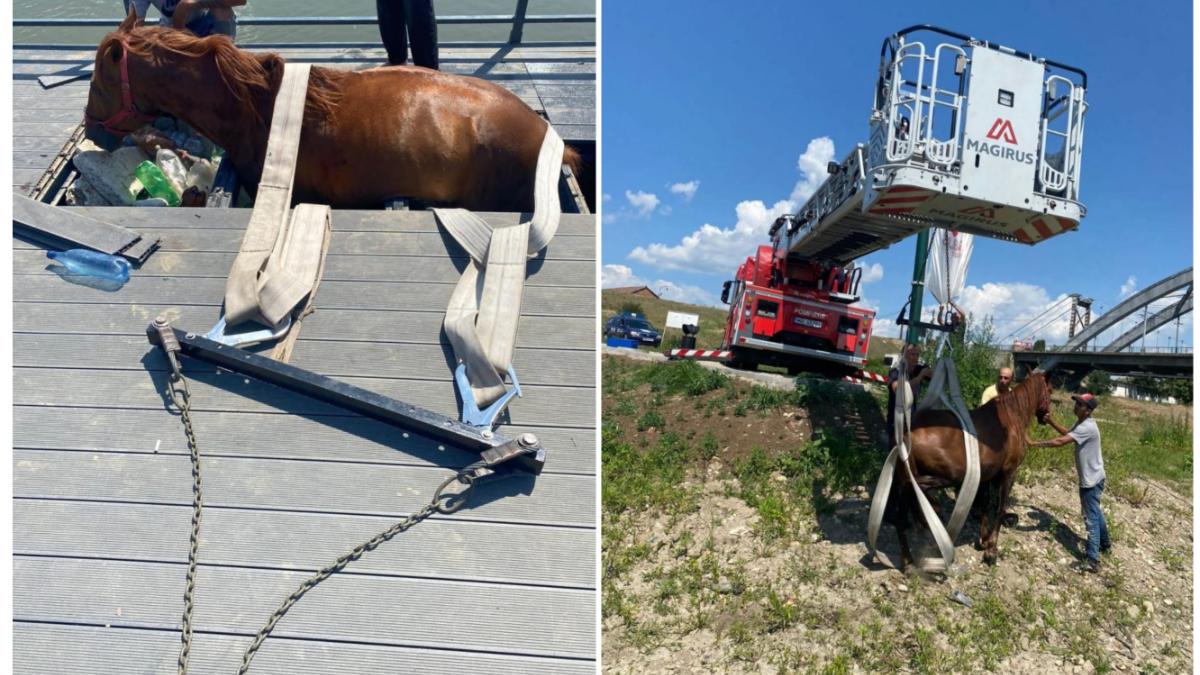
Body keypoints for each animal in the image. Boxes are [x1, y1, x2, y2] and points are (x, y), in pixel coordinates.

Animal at [883, 369, 1051, 564]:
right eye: (1050, 391)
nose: (1046, 416)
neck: (1011, 417)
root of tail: (907, 433)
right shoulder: (1009, 473)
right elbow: (1000, 508)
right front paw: (991, 549)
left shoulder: (987, 475)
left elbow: (985, 504)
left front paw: (983, 539)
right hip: (951, 475)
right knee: (913, 488)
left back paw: (909, 552)